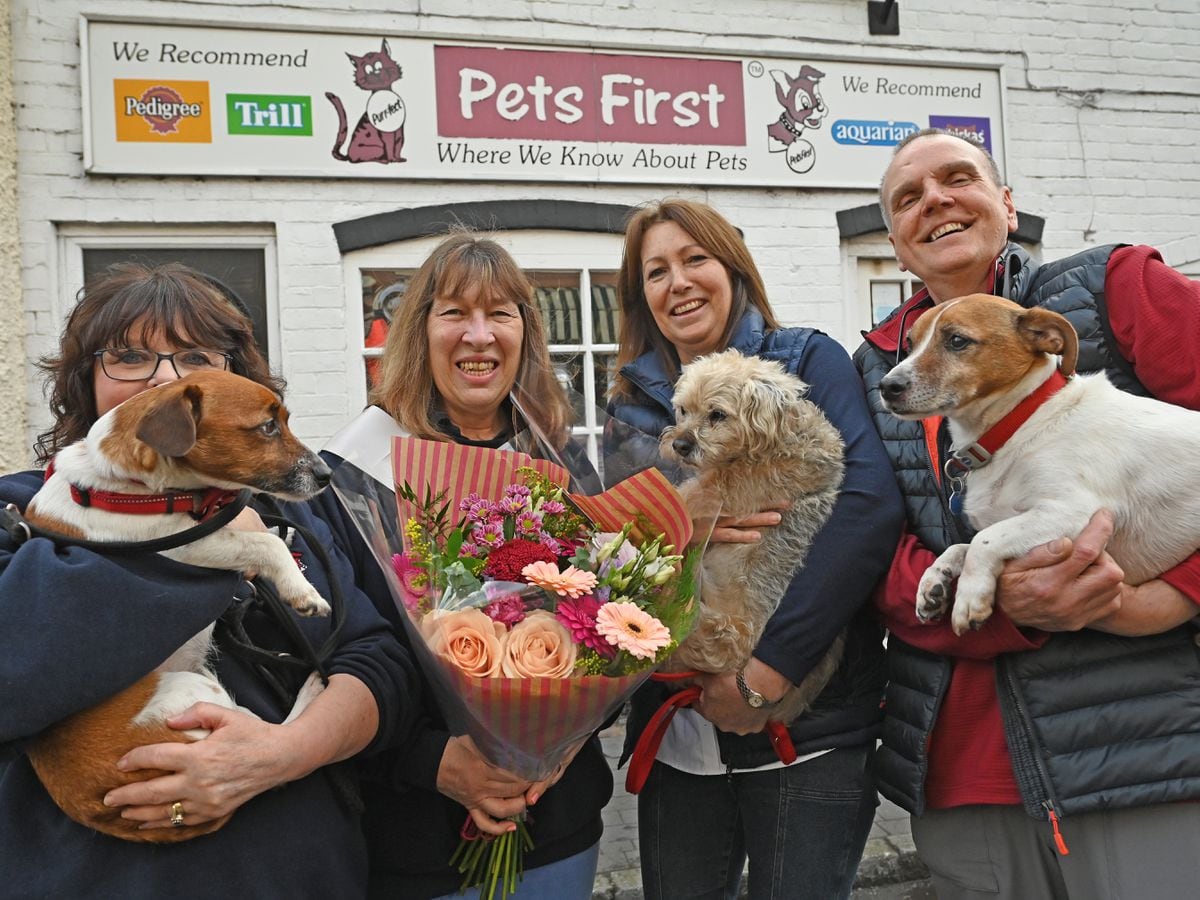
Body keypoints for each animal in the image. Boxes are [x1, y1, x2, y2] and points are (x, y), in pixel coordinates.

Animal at [662, 348, 849, 724]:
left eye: (717, 415)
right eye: (683, 410)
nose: (680, 444)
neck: (780, 438)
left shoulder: (727, 489)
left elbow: (685, 498)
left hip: (721, 633)